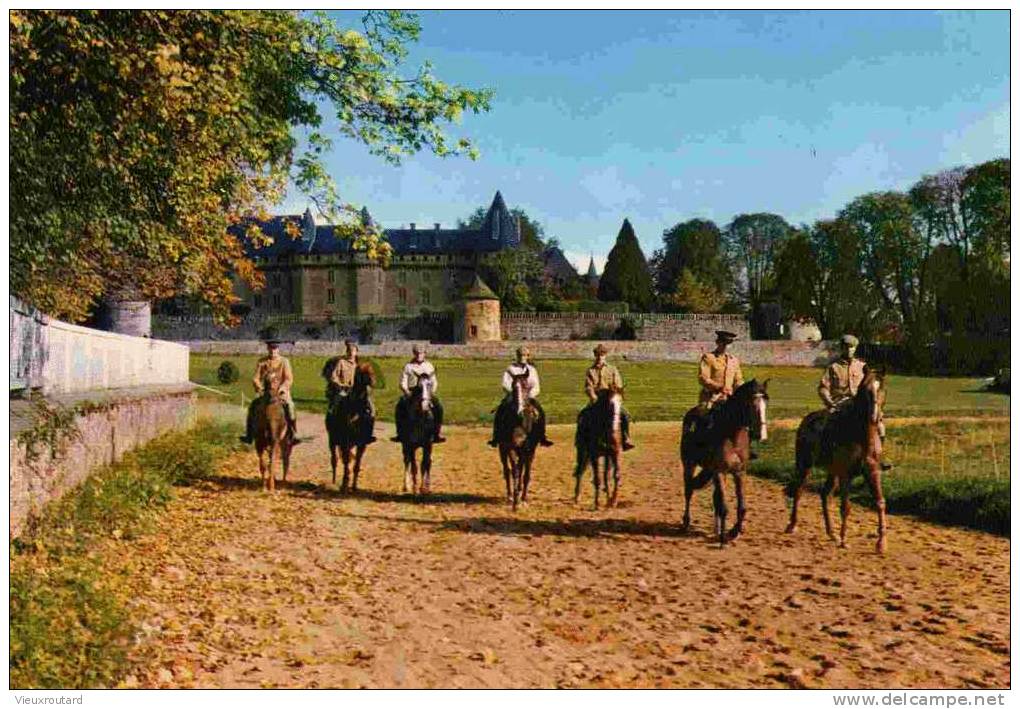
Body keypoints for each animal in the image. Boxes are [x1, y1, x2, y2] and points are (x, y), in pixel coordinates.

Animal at [324, 361, 377, 493]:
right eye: (361, 377)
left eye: (371, 376)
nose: (368, 409)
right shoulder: (345, 442)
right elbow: (346, 462)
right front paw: (344, 484)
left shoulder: (362, 444)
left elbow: (356, 464)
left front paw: (354, 486)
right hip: (332, 441)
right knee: (334, 460)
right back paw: (334, 481)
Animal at [497, 371, 546, 510]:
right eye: (513, 387)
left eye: (526, 386)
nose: (519, 411)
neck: (520, 422)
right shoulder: (510, 447)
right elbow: (515, 471)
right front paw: (515, 500)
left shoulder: (528, 449)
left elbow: (525, 473)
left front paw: (522, 499)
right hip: (502, 449)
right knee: (507, 470)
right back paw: (510, 496)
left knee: (523, 469)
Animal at [681, 379, 767, 546]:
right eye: (751, 403)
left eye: (765, 403)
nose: (762, 435)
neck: (732, 437)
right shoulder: (719, 472)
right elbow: (724, 506)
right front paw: (723, 539)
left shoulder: (739, 473)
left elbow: (742, 507)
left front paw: (734, 532)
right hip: (689, 464)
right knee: (688, 491)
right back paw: (686, 522)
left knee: (714, 498)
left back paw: (716, 528)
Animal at [783, 365, 889, 554]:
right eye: (866, 390)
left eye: (881, 388)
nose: (875, 417)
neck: (862, 437)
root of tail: (806, 420)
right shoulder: (846, 475)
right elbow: (845, 507)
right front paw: (844, 540)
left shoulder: (873, 472)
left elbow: (880, 502)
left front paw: (881, 543)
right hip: (805, 465)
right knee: (799, 490)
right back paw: (793, 526)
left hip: (832, 472)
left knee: (825, 494)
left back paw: (831, 533)